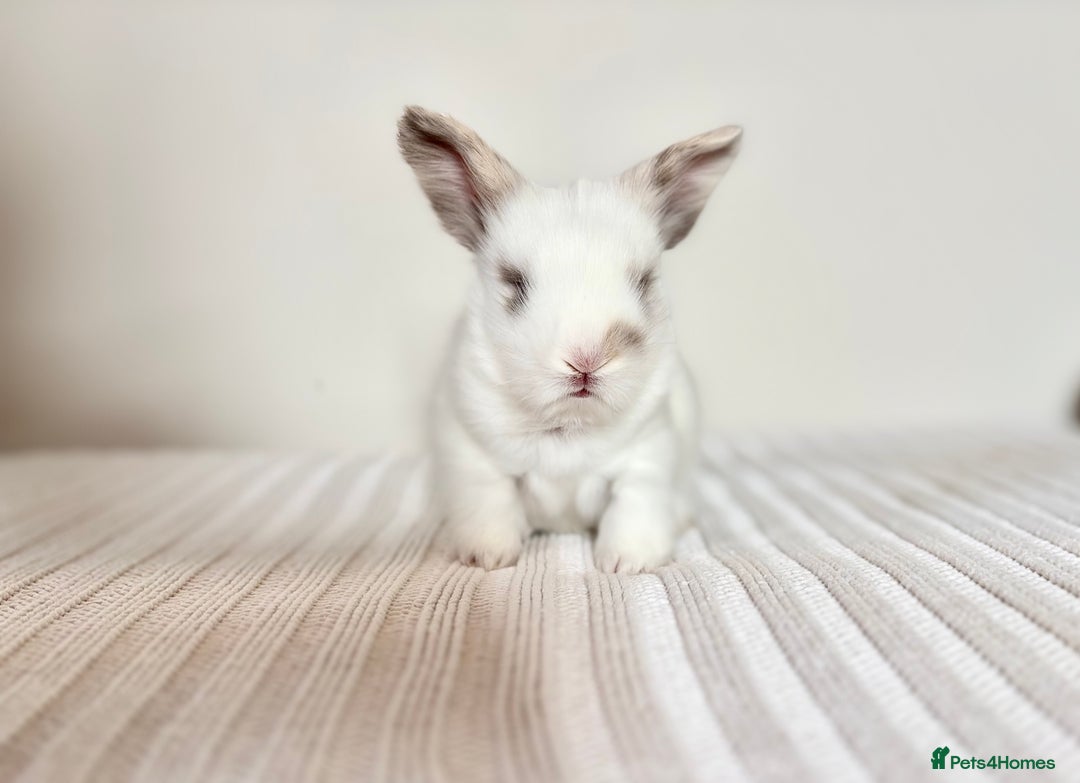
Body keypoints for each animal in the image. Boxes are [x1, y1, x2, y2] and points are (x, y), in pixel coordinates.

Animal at [397, 106, 741, 573]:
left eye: (642, 281)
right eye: (516, 283)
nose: (587, 359)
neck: (568, 426)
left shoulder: (648, 459)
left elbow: (633, 507)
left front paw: (628, 562)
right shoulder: (473, 458)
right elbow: (490, 503)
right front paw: (487, 556)